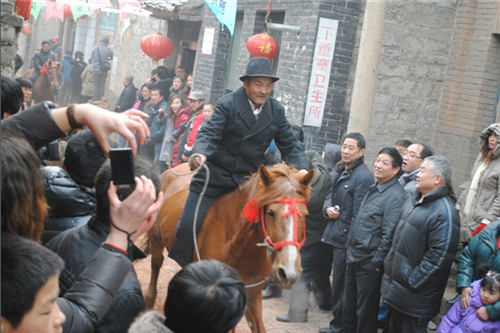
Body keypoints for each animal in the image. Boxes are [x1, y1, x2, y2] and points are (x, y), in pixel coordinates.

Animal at [145, 162, 314, 330]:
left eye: (305, 214)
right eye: (270, 213)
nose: (288, 273)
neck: (237, 249)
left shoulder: (252, 293)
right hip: (156, 239)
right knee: (157, 262)